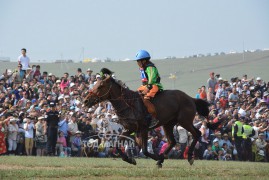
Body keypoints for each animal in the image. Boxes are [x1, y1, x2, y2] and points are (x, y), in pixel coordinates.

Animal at [84, 70, 220, 167]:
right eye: (95, 83)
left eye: (100, 86)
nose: (85, 100)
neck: (128, 104)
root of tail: (190, 98)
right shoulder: (130, 129)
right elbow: (118, 144)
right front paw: (129, 159)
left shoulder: (143, 129)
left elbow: (144, 150)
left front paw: (156, 157)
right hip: (168, 124)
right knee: (172, 141)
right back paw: (162, 159)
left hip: (184, 121)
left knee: (196, 133)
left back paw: (189, 157)